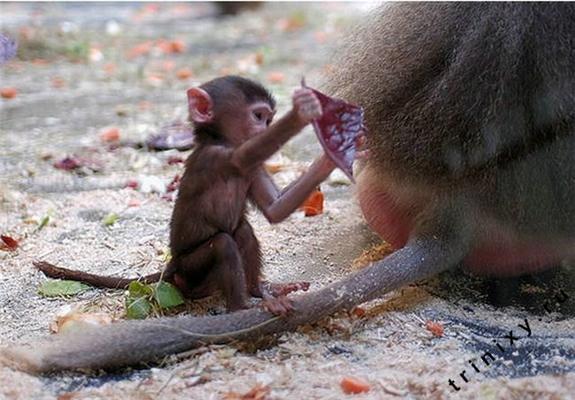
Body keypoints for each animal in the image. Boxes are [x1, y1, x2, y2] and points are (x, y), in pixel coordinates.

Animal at [38, 76, 336, 316]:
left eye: (268, 119)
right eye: (258, 116)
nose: (265, 128)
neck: (217, 139)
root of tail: (172, 267)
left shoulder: (253, 169)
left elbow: (275, 209)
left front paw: (329, 159)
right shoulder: (218, 158)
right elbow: (253, 152)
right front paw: (302, 111)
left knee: (242, 231)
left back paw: (257, 290)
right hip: (191, 273)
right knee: (225, 243)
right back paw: (241, 307)